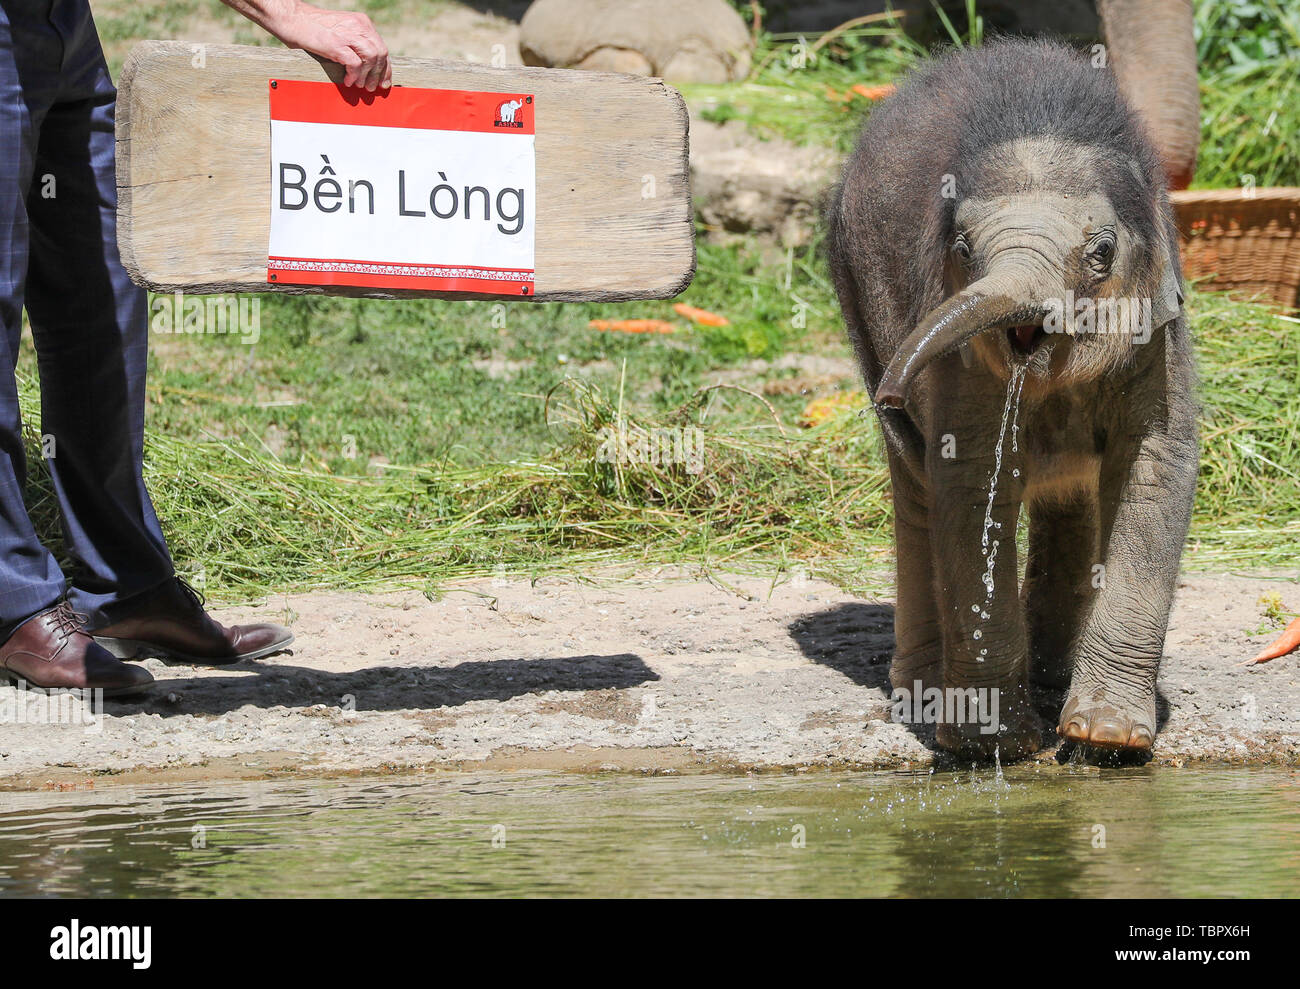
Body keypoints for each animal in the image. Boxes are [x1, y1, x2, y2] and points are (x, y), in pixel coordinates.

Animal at [832, 38, 1196, 758]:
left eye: (1101, 253)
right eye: (963, 247)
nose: (893, 389)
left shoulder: (1161, 335)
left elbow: (1157, 463)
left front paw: (1106, 740)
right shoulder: (958, 346)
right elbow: (972, 478)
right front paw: (994, 745)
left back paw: (1052, 681)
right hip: (855, 293)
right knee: (917, 486)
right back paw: (922, 690)